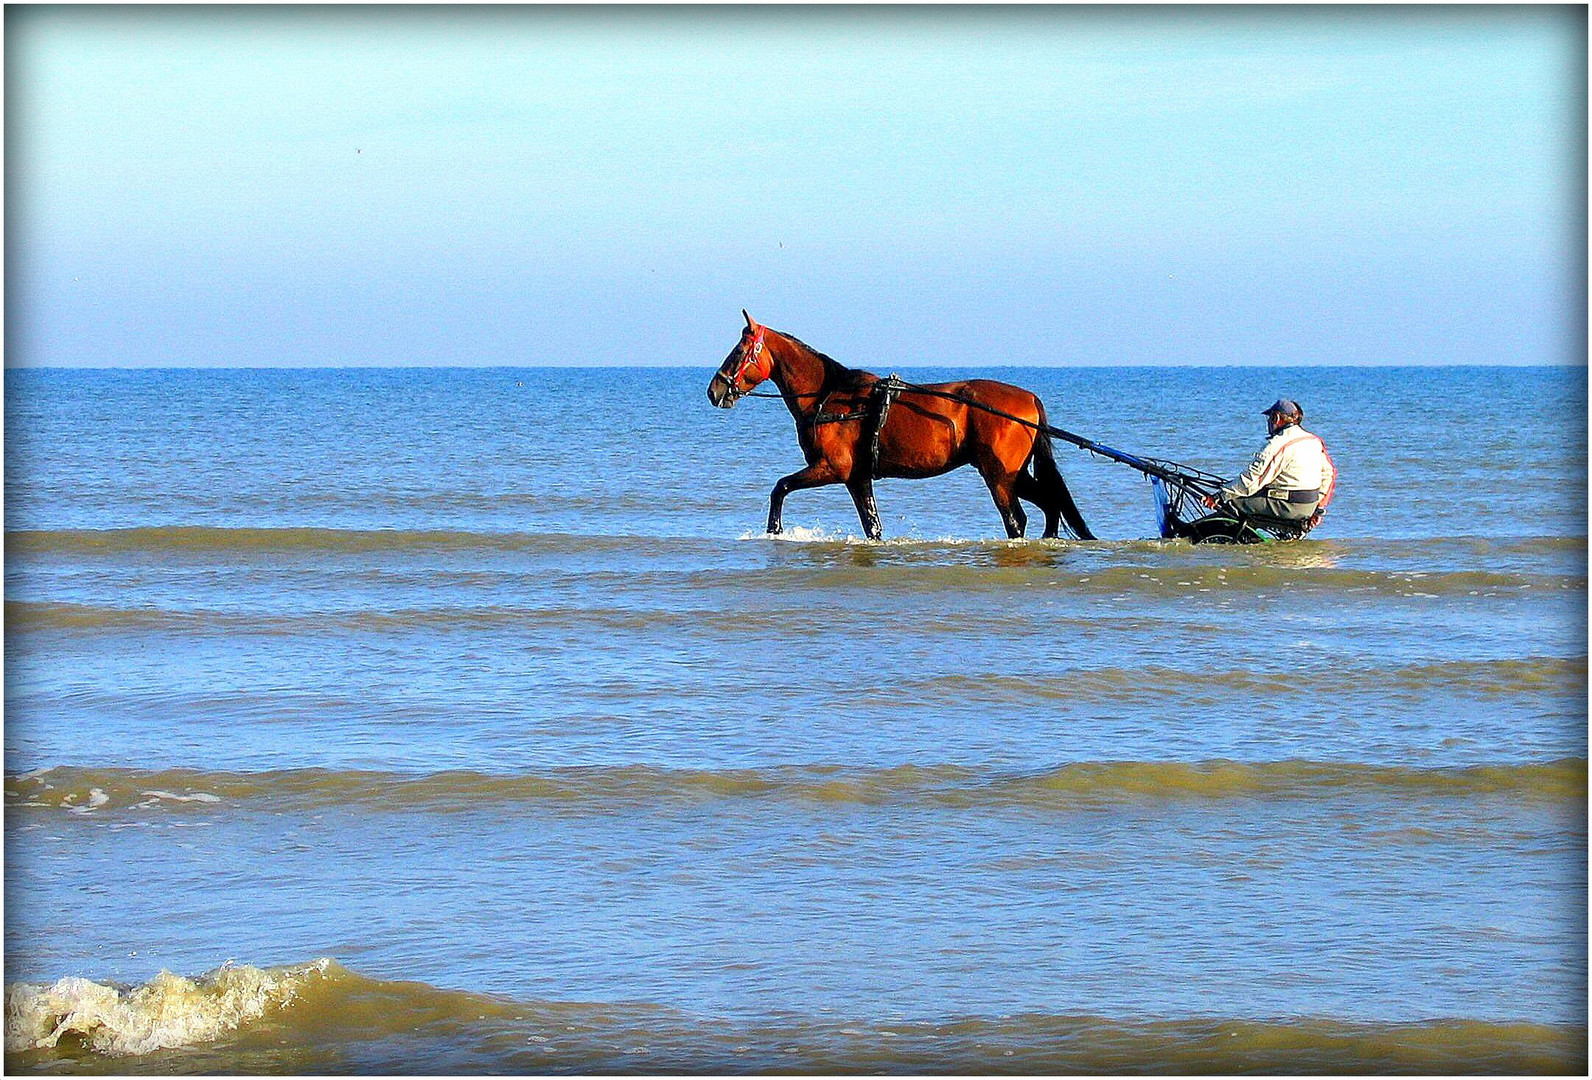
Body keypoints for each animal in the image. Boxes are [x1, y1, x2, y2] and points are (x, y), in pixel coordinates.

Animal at [710, 315, 1095, 551]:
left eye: (740, 350)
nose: (715, 390)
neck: (831, 395)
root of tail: (1028, 398)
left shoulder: (832, 468)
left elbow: (780, 487)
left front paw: (774, 529)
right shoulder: (858, 478)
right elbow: (872, 526)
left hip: (999, 476)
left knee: (1017, 519)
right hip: (1013, 474)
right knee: (1050, 504)